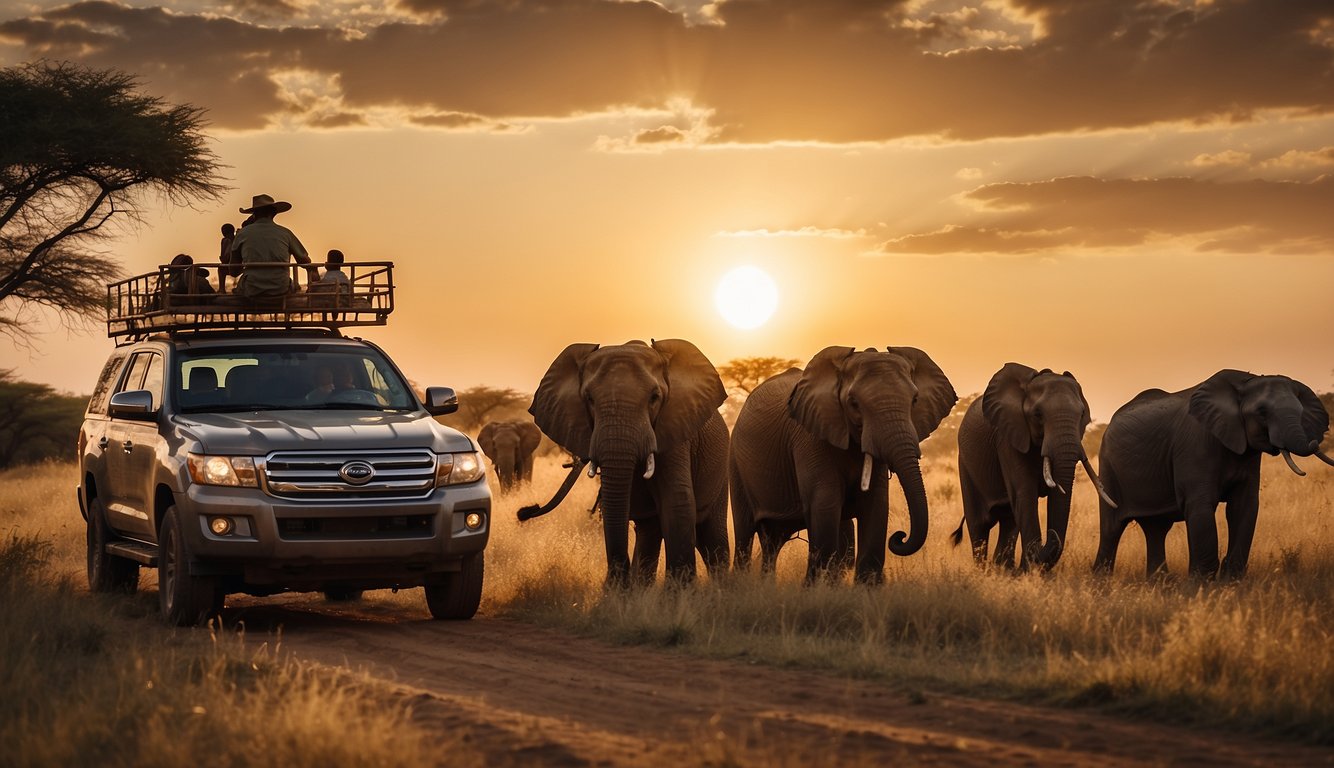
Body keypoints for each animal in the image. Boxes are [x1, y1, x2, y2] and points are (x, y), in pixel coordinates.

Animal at [520, 338, 731, 584]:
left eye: (654, 398)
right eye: (589, 399)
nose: (525, 511)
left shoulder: (674, 428)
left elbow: (677, 499)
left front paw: (680, 591)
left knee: (710, 534)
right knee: (650, 530)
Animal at [731, 346, 960, 581]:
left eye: (914, 400)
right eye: (854, 404)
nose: (900, 536)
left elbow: (876, 505)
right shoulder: (810, 437)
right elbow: (825, 504)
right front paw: (818, 586)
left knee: (773, 541)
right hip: (736, 463)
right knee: (745, 532)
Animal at [949, 365, 1115, 570]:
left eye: (1082, 414)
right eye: (1038, 415)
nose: (1051, 535)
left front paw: (1029, 570)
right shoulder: (1007, 437)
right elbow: (1025, 492)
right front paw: (1030, 570)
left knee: (1009, 521)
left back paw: (1004, 569)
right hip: (965, 465)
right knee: (979, 523)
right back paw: (985, 570)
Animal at [1093, 368, 1334, 578]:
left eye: (1301, 412)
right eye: (1262, 412)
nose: (1314, 443)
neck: (1246, 382)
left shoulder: (1248, 454)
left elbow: (1244, 506)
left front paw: (1231, 582)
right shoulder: (1195, 444)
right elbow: (1201, 504)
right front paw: (1201, 585)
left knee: (1156, 528)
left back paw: (1161, 583)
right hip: (1108, 467)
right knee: (1112, 527)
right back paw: (1102, 583)